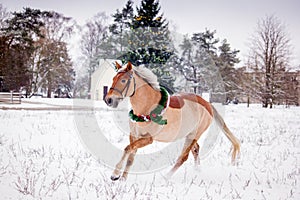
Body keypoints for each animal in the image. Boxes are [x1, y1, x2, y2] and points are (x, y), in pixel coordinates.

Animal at [104, 61, 240, 180]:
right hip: (189, 134)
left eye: (123, 80)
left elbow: (127, 149)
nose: (109, 100)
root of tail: (207, 104)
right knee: (195, 150)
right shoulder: (134, 135)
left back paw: (165, 178)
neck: (147, 107)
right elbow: (130, 157)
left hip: (194, 134)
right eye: (113, 79)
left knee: (183, 157)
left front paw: (115, 175)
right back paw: (197, 172)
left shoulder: (148, 139)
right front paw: (122, 179)